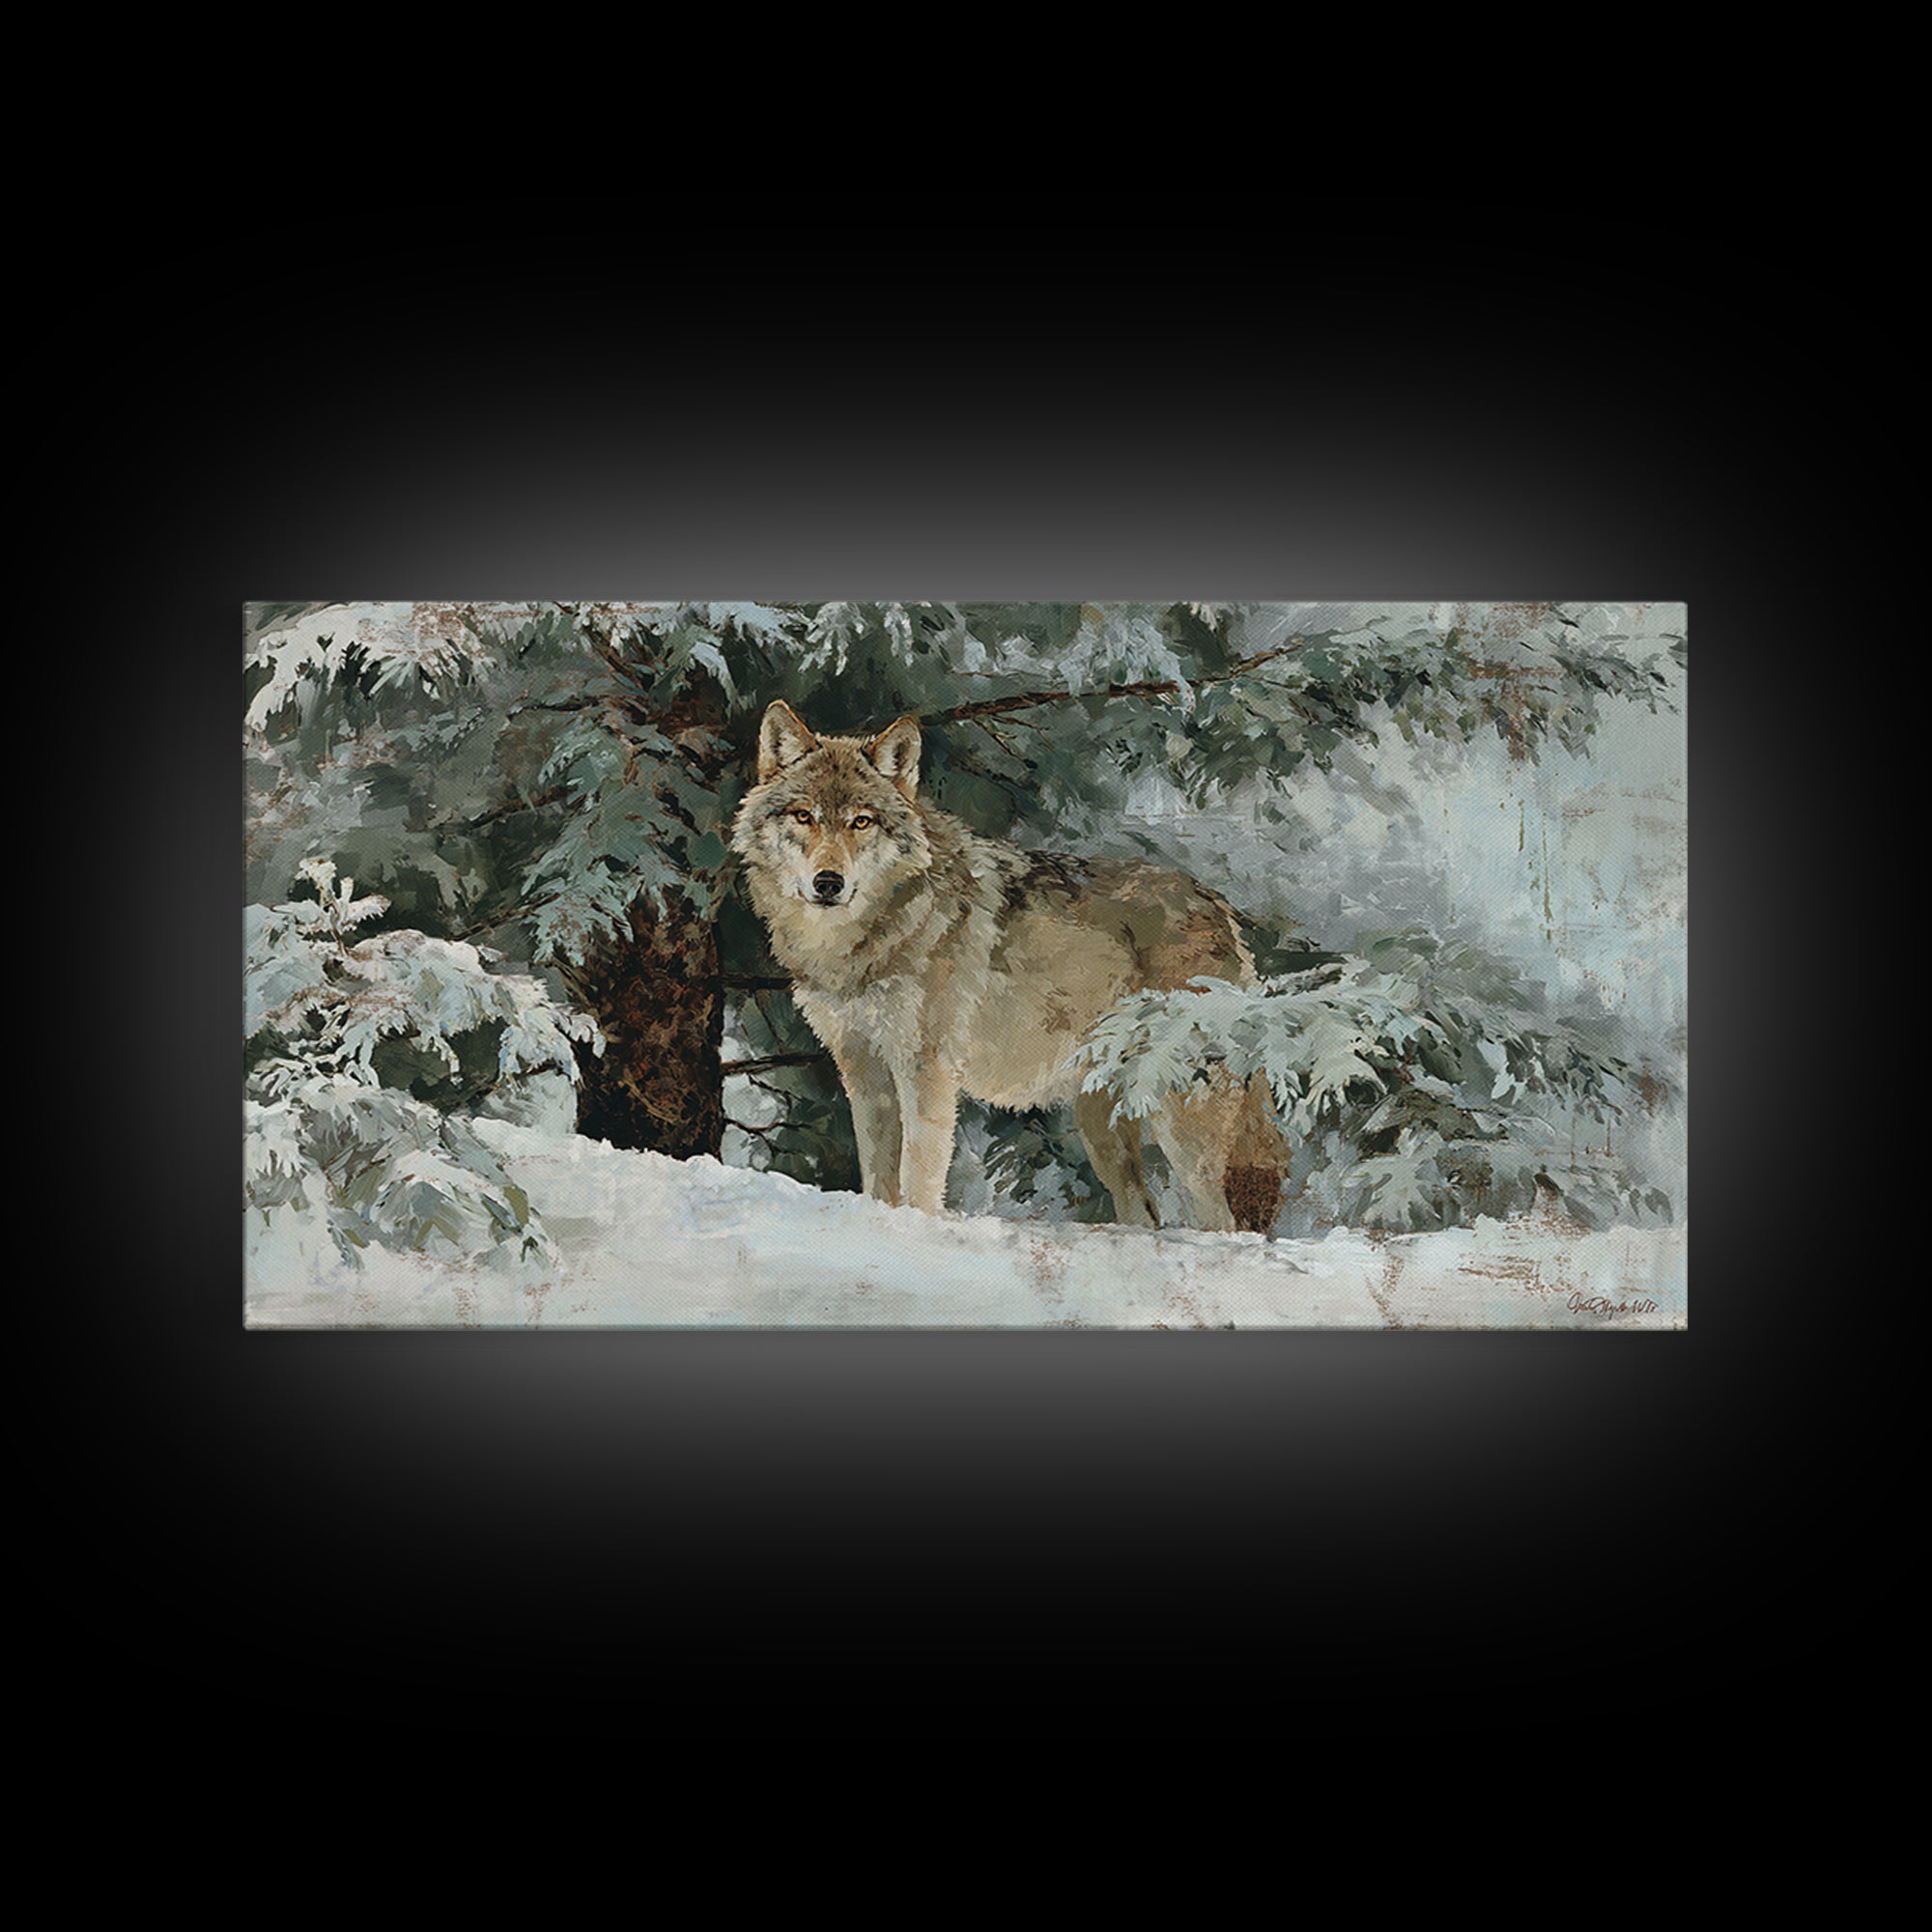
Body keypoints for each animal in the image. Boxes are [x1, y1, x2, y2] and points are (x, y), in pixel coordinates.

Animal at [730, 700, 1290, 1233]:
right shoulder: (863, 1067)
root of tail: (1218, 906)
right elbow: (877, 1177)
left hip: (1185, 1119)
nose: (828, 882)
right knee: (1145, 1212)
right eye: (804, 816)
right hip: (1101, 1123)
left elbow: (918, 1175)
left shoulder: (926, 1067)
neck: (863, 940)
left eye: (861, 822)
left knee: (1225, 1221)